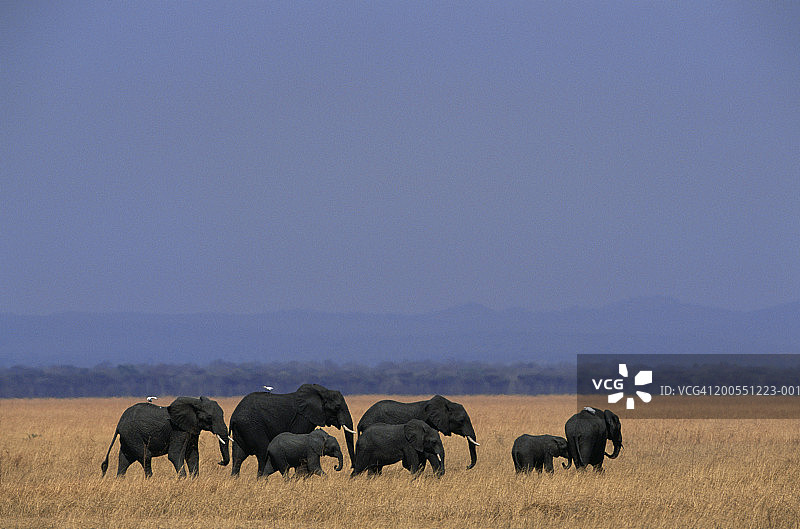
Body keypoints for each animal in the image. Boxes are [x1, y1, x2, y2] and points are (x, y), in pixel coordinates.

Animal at [101, 396, 229, 478]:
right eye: (209, 417)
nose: (220, 462)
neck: (195, 402)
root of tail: (119, 423)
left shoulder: (192, 429)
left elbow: (192, 455)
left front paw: (194, 480)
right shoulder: (178, 429)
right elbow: (175, 455)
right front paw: (183, 479)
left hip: (127, 438)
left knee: (124, 460)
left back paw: (120, 480)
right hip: (132, 435)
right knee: (146, 456)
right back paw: (149, 480)